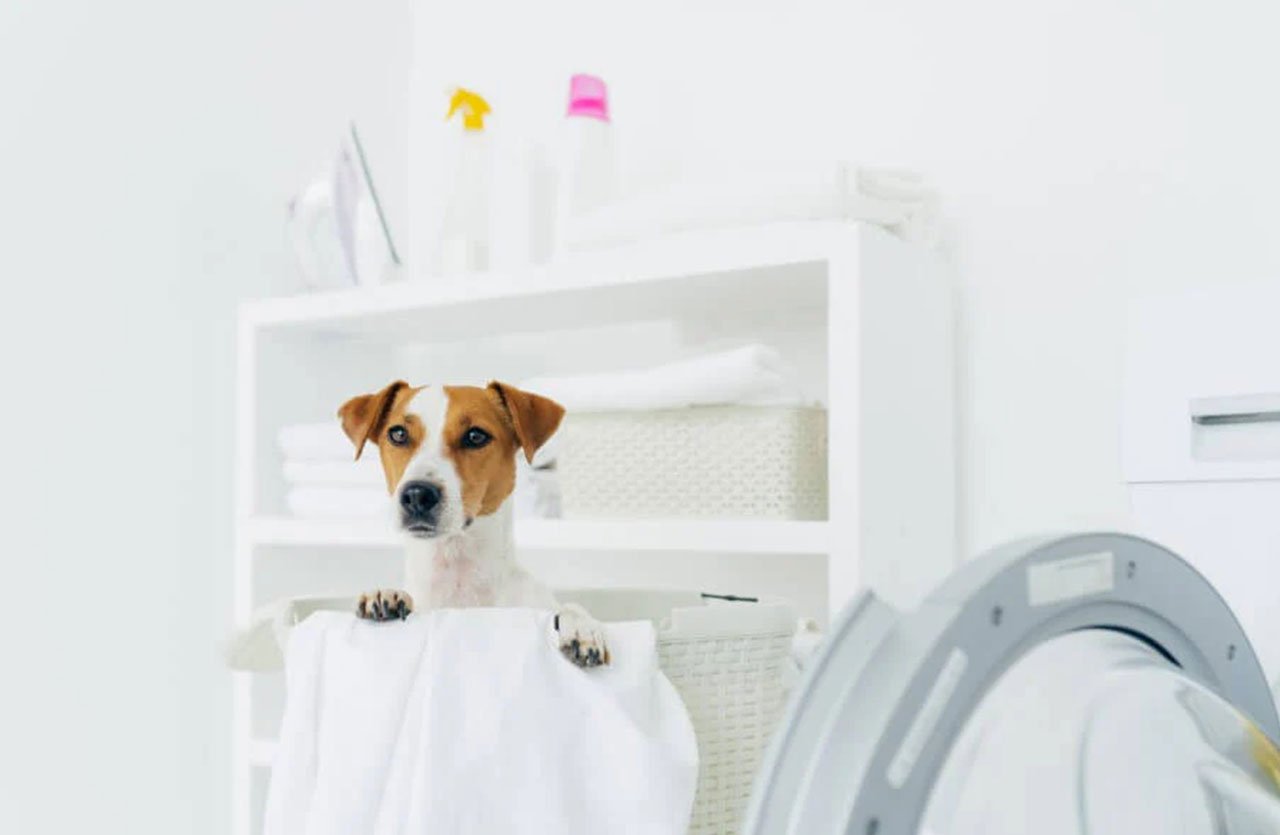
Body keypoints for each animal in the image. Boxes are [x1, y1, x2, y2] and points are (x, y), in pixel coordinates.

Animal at [332, 381, 606, 671]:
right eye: (398, 434)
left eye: (475, 436)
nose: (417, 494)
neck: (458, 572)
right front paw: (385, 595)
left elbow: (570, 606)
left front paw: (581, 627)